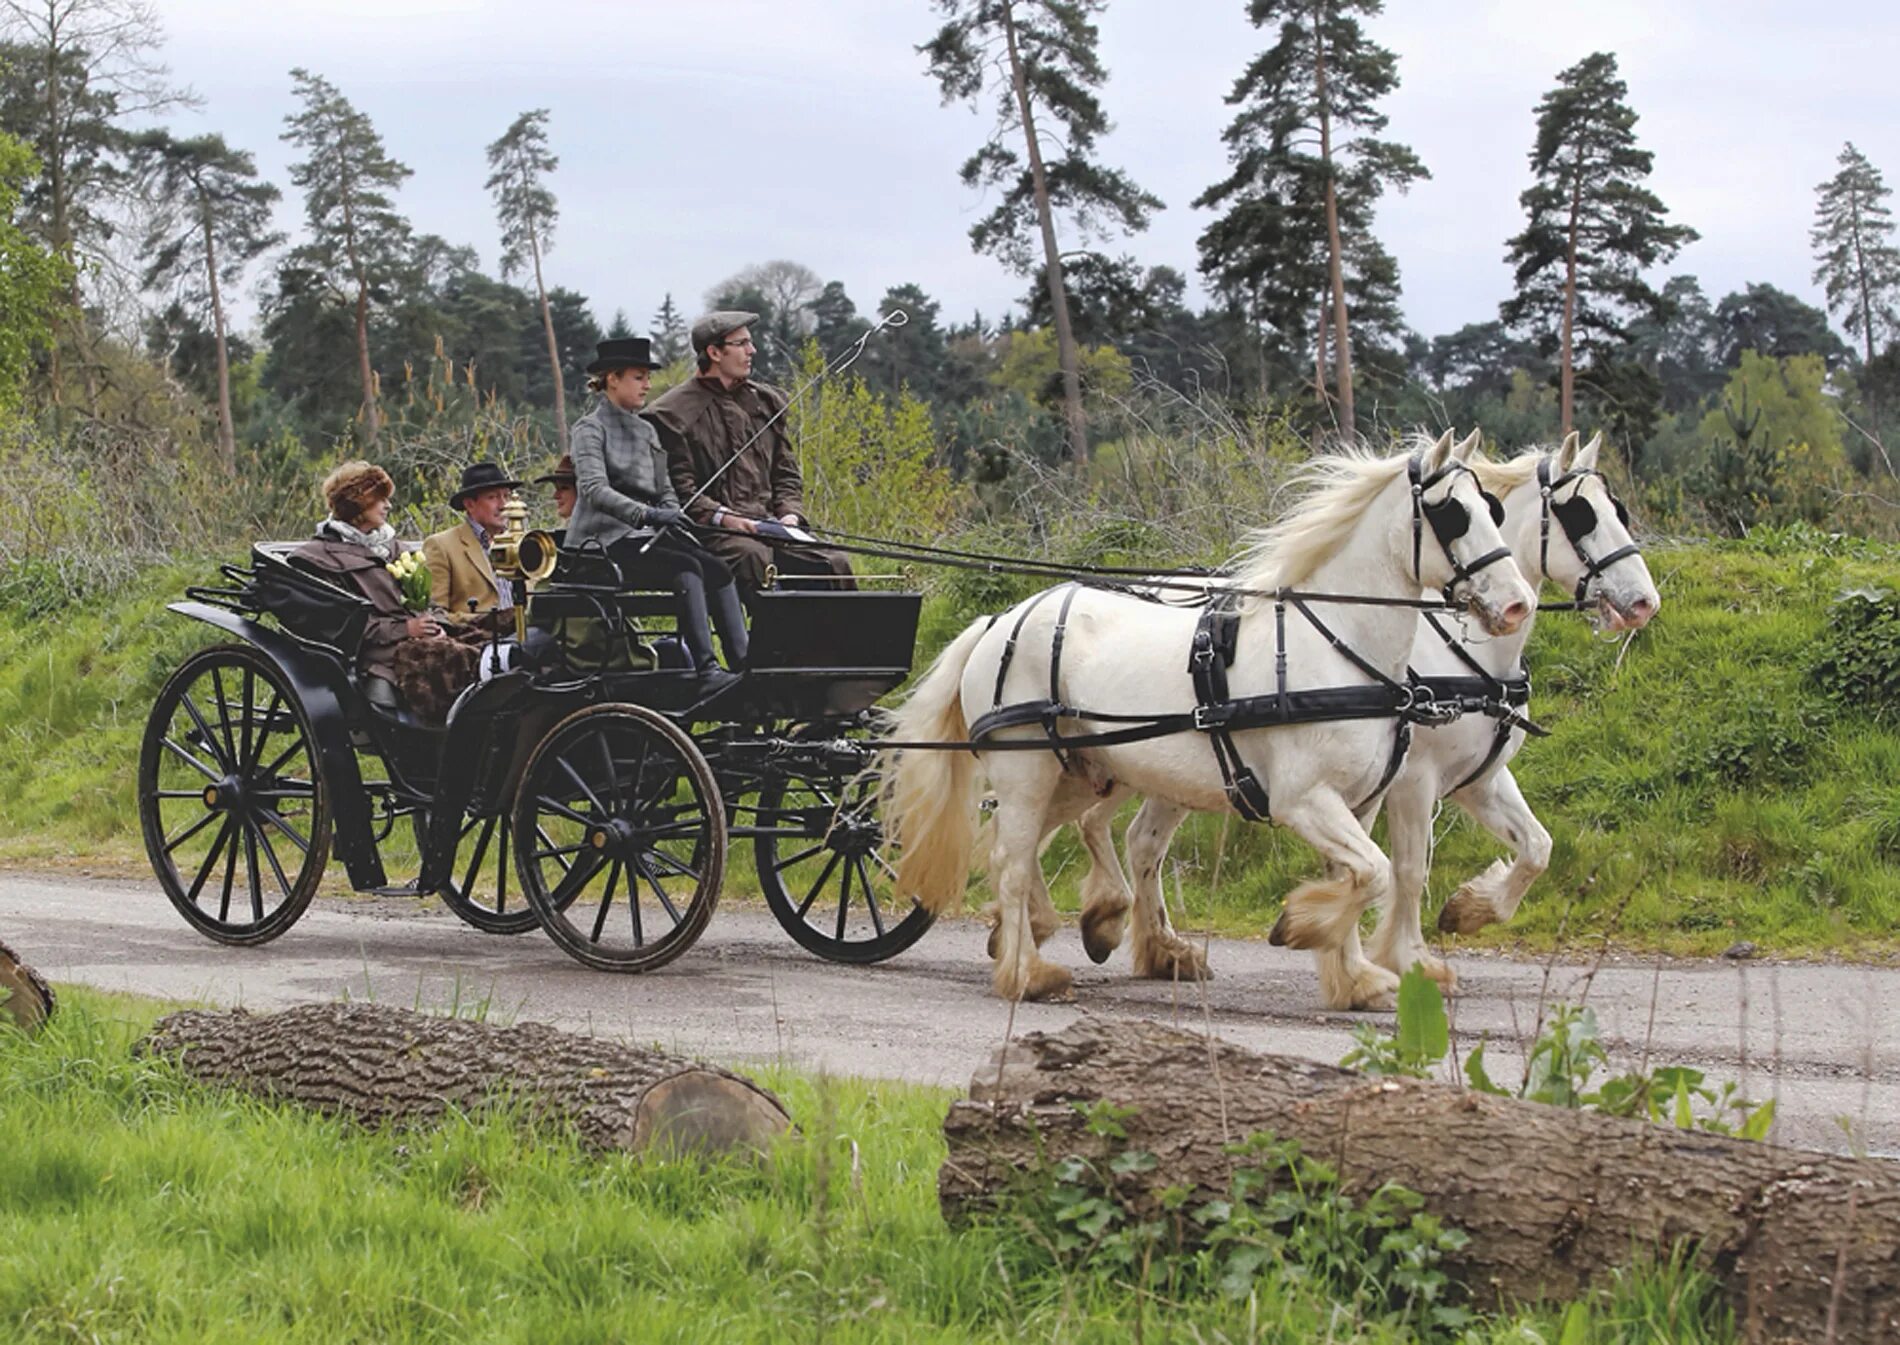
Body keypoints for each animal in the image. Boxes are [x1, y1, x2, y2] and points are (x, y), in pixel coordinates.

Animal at [889, 431, 1542, 1010]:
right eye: (1452, 513)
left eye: (1493, 508)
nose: (1517, 604)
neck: (1336, 645)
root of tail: (998, 622)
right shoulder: (1305, 799)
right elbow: (1379, 872)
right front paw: (1303, 926)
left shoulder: (1360, 801)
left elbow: (1365, 875)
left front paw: (1355, 977)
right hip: (1027, 771)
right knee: (1012, 859)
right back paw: (1028, 972)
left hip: (1079, 773)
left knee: (1033, 846)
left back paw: (1057, 931)